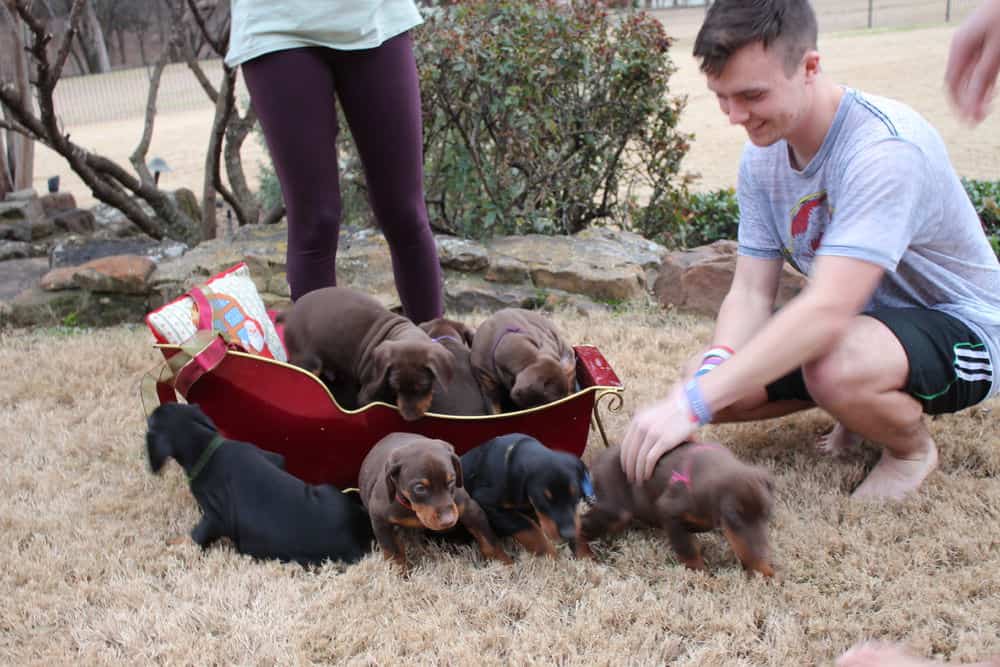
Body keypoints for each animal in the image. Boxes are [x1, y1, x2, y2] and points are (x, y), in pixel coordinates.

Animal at [144, 402, 372, 568]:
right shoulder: (271, 456)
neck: (206, 446)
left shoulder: (214, 516)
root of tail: (362, 529)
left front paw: (172, 544)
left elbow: (196, 535)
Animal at [280, 286, 456, 420]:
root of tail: (290, 312)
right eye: (395, 386)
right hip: (308, 361)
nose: (409, 418)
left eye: (423, 386)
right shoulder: (368, 395)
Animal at [360, 436, 512, 572]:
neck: (413, 509)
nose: (448, 521)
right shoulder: (380, 521)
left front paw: (505, 564)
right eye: (420, 488)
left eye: (451, 481)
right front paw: (400, 575)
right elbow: (394, 554)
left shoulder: (470, 509)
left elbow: (489, 540)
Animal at [460, 434, 592, 560]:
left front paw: (584, 554)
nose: (568, 534)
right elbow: (529, 529)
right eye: (544, 499)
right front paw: (551, 556)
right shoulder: (487, 502)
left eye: (576, 494)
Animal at [584, 440, 776, 576]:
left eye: (767, 513)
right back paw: (585, 556)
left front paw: (764, 570)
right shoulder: (669, 512)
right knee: (581, 523)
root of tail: (594, 463)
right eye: (734, 517)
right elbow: (687, 548)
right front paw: (701, 575)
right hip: (615, 509)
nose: (762, 557)